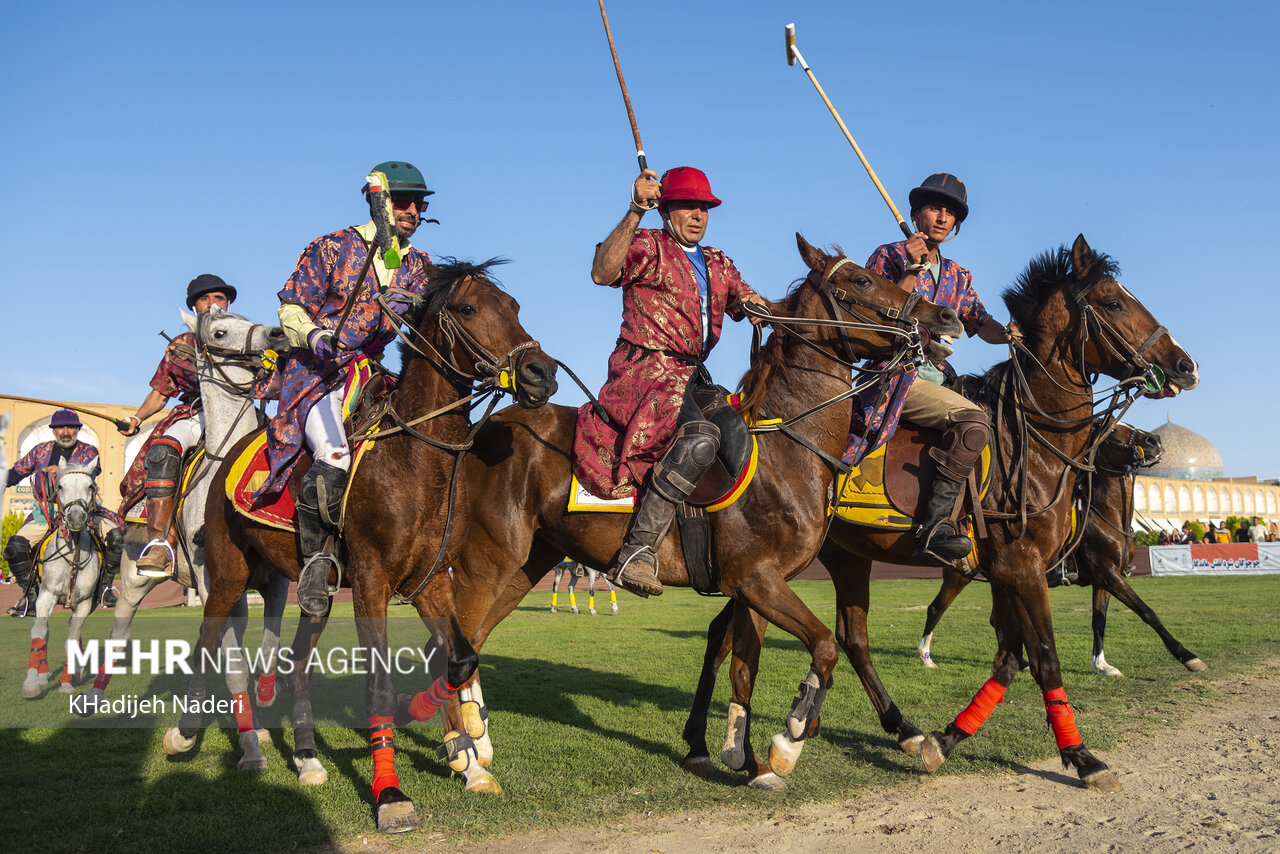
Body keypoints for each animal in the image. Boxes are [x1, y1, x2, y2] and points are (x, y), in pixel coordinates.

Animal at [84, 308, 293, 773]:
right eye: (219, 331)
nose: (277, 334)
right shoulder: (211, 578)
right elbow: (232, 665)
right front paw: (248, 748)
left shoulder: (274, 582)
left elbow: (267, 649)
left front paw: (262, 712)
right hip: (133, 580)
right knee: (121, 628)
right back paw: (93, 697)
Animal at [163, 262, 555, 834]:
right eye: (467, 308)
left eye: (516, 307)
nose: (541, 373)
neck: (417, 459)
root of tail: (224, 453)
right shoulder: (372, 582)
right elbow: (380, 686)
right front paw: (391, 794)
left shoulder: (430, 581)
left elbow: (459, 659)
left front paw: (465, 758)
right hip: (228, 573)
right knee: (207, 641)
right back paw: (185, 732)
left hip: (315, 593)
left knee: (296, 665)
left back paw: (307, 759)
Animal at [440, 235, 962, 793]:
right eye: (863, 278)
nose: (943, 316)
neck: (787, 448)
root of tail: (484, 428)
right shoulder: (756, 579)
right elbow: (823, 646)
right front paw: (787, 741)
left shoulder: (755, 586)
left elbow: (744, 668)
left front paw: (747, 758)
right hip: (488, 563)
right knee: (456, 643)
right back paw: (467, 758)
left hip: (525, 564)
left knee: (472, 645)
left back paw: (477, 743)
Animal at [916, 419, 1203, 676]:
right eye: (1113, 429)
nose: (1155, 441)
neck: (1106, 516)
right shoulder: (1109, 573)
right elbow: (1147, 612)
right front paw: (1188, 656)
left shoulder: (1105, 579)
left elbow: (1099, 621)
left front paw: (1101, 665)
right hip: (960, 574)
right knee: (936, 608)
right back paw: (926, 657)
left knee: (994, 619)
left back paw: (1022, 662)